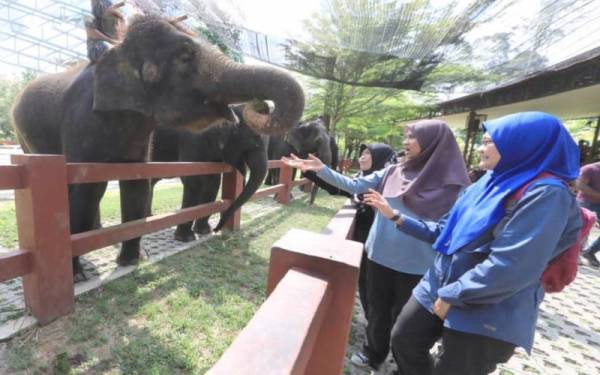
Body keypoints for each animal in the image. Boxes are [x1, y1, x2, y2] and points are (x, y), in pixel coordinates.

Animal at [150, 104, 268, 242]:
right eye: (255, 142)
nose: (217, 229)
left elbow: (213, 181)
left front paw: (204, 231)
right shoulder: (192, 138)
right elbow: (192, 179)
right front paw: (186, 238)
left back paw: (149, 216)